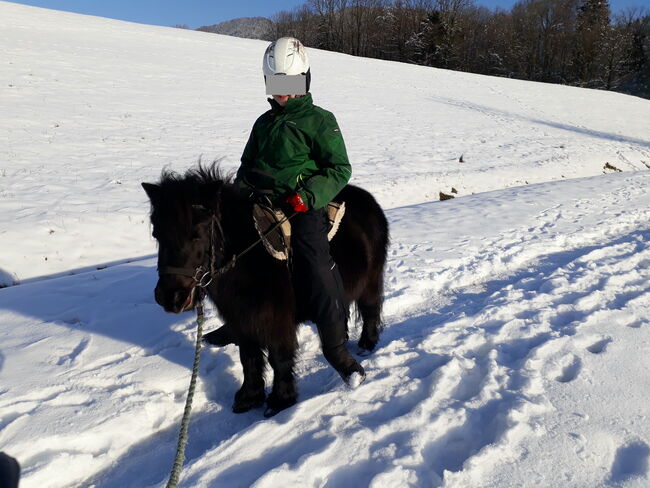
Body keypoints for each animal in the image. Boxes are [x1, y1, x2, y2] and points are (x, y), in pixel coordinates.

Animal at [143, 165, 384, 416]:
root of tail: (367, 198)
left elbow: (279, 358)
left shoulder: (277, 321)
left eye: (197, 234)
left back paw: (364, 348)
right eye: (157, 234)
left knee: (370, 309)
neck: (247, 256)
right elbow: (249, 357)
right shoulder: (242, 318)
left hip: (370, 282)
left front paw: (281, 399)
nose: (170, 298)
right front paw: (249, 397)